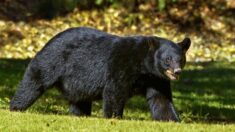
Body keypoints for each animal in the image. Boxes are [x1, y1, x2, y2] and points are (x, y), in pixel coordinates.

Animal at [10, 26, 191, 121]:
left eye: (181, 59)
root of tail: (49, 40)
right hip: (52, 61)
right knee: (34, 82)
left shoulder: (156, 79)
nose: (177, 71)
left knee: (79, 99)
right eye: (168, 59)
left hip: (76, 82)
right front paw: (114, 118)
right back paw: (15, 107)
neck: (144, 65)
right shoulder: (121, 65)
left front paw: (172, 120)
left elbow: (160, 99)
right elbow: (115, 91)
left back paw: (80, 115)